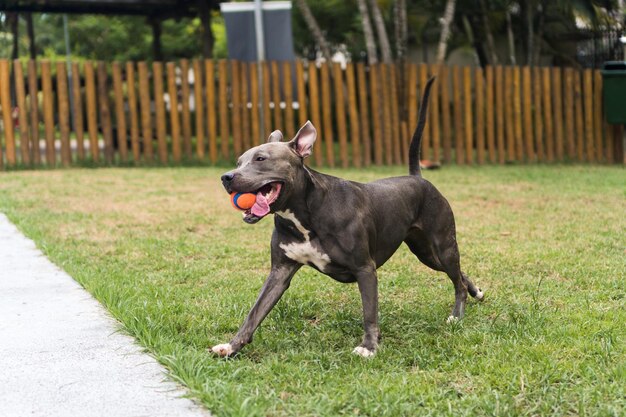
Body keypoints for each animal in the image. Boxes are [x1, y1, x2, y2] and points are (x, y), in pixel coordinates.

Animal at [212, 78, 480, 358]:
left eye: (261, 159)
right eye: (239, 162)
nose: (226, 177)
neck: (305, 214)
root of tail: (417, 178)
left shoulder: (365, 269)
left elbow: (369, 312)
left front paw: (369, 346)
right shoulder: (280, 271)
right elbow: (255, 312)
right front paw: (232, 345)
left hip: (443, 246)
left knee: (456, 279)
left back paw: (457, 315)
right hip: (426, 252)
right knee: (458, 274)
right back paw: (476, 292)